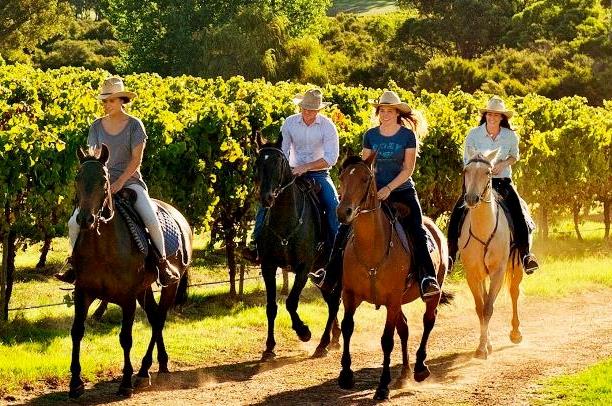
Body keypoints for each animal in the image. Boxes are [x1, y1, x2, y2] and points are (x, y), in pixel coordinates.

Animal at [67, 145, 192, 396]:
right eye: (77, 178)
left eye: (104, 181)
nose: (85, 219)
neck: (102, 247)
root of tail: (178, 215)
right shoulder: (83, 292)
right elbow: (77, 331)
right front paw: (75, 382)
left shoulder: (127, 298)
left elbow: (126, 337)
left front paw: (125, 383)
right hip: (144, 290)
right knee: (154, 317)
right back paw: (160, 364)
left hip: (170, 285)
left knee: (159, 319)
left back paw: (144, 371)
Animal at [252, 138, 340, 360]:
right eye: (258, 163)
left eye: (279, 162)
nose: (266, 198)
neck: (286, 220)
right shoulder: (268, 266)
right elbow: (271, 307)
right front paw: (269, 347)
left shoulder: (303, 268)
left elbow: (291, 302)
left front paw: (304, 332)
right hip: (320, 276)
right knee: (332, 301)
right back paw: (334, 338)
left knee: (335, 302)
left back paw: (323, 344)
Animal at [334, 155, 450, 400]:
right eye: (342, 177)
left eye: (365, 178)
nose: (343, 212)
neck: (372, 248)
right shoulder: (350, 295)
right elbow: (348, 327)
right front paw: (346, 375)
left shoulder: (392, 299)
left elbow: (386, 340)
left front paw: (382, 386)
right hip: (397, 303)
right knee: (404, 328)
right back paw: (404, 373)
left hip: (428, 294)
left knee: (428, 321)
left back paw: (419, 368)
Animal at [462, 149, 524, 358]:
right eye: (466, 171)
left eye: (488, 173)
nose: (471, 199)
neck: (483, 229)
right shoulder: (473, 274)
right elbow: (480, 307)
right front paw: (483, 346)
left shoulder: (498, 271)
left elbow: (488, 308)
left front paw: (483, 348)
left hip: (517, 266)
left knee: (514, 292)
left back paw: (515, 333)